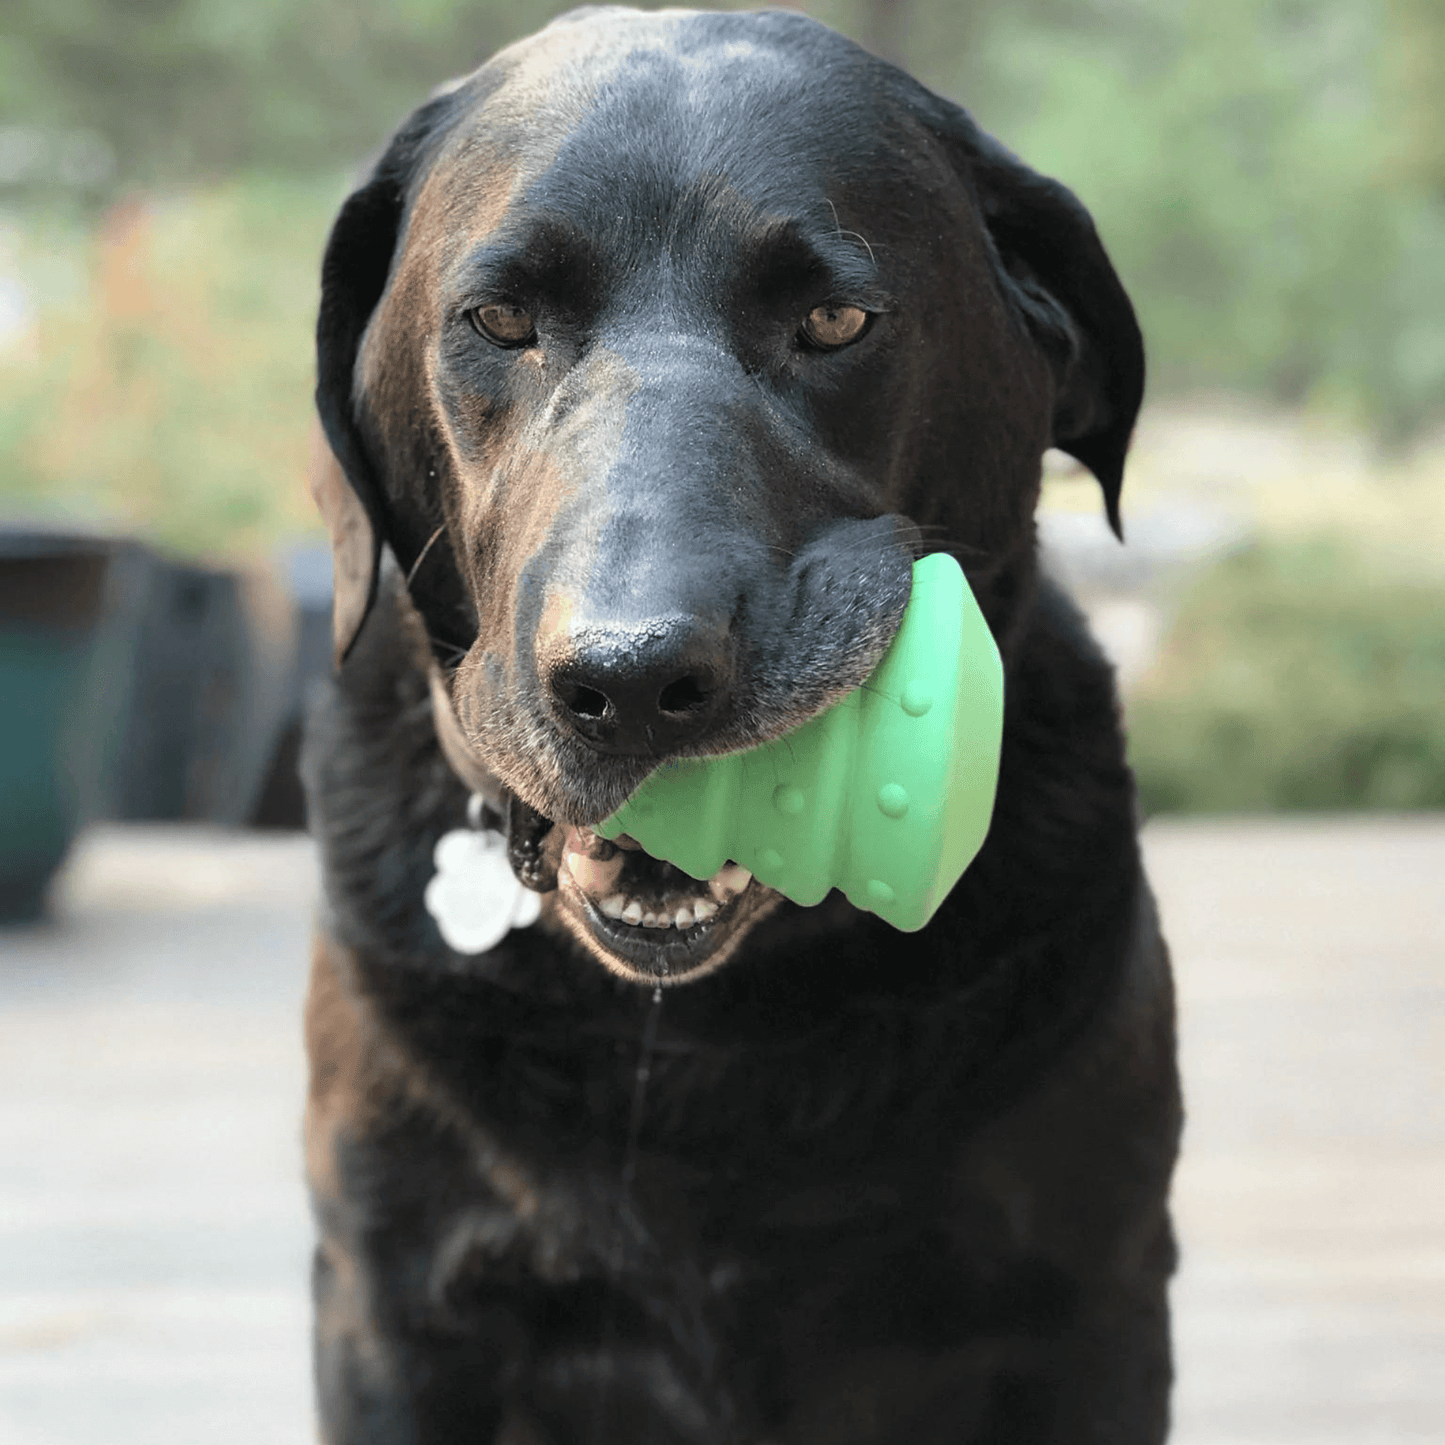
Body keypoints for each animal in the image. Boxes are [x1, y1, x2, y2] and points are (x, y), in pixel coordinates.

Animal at [299, 14, 1179, 1445]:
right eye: (499, 319)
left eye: (832, 318)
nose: (630, 675)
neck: (700, 1048)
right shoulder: (394, 1312)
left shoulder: (1089, 1304)